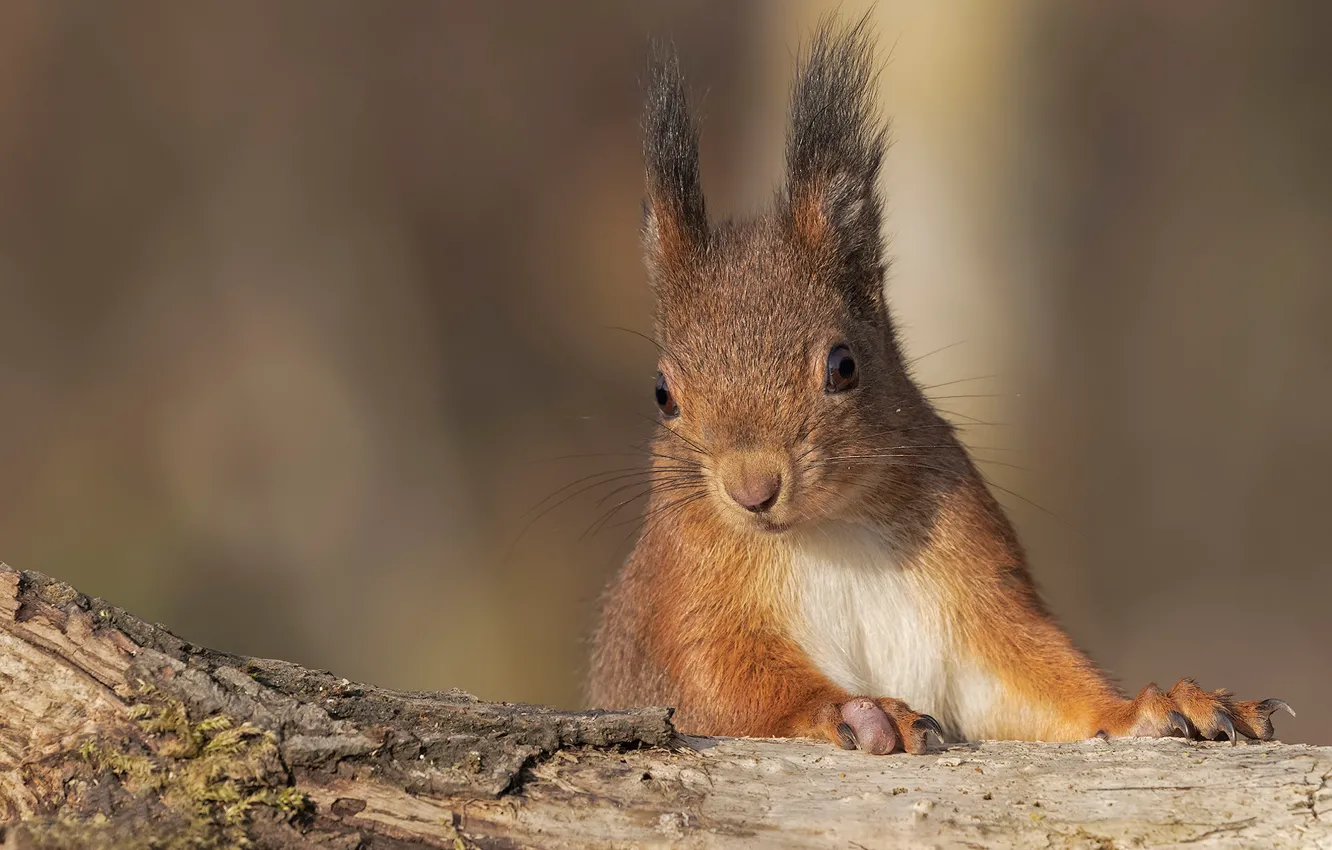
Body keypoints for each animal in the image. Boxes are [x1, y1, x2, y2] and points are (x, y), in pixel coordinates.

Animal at [588, 16, 1294, 756]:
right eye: (663, 393)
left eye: (843, 366)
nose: (752, 490)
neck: (828, 532)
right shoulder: (679, 609)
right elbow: (723, 684)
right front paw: (858, 710)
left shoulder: (971, 585)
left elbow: (1032, 678)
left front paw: (1156, 706)